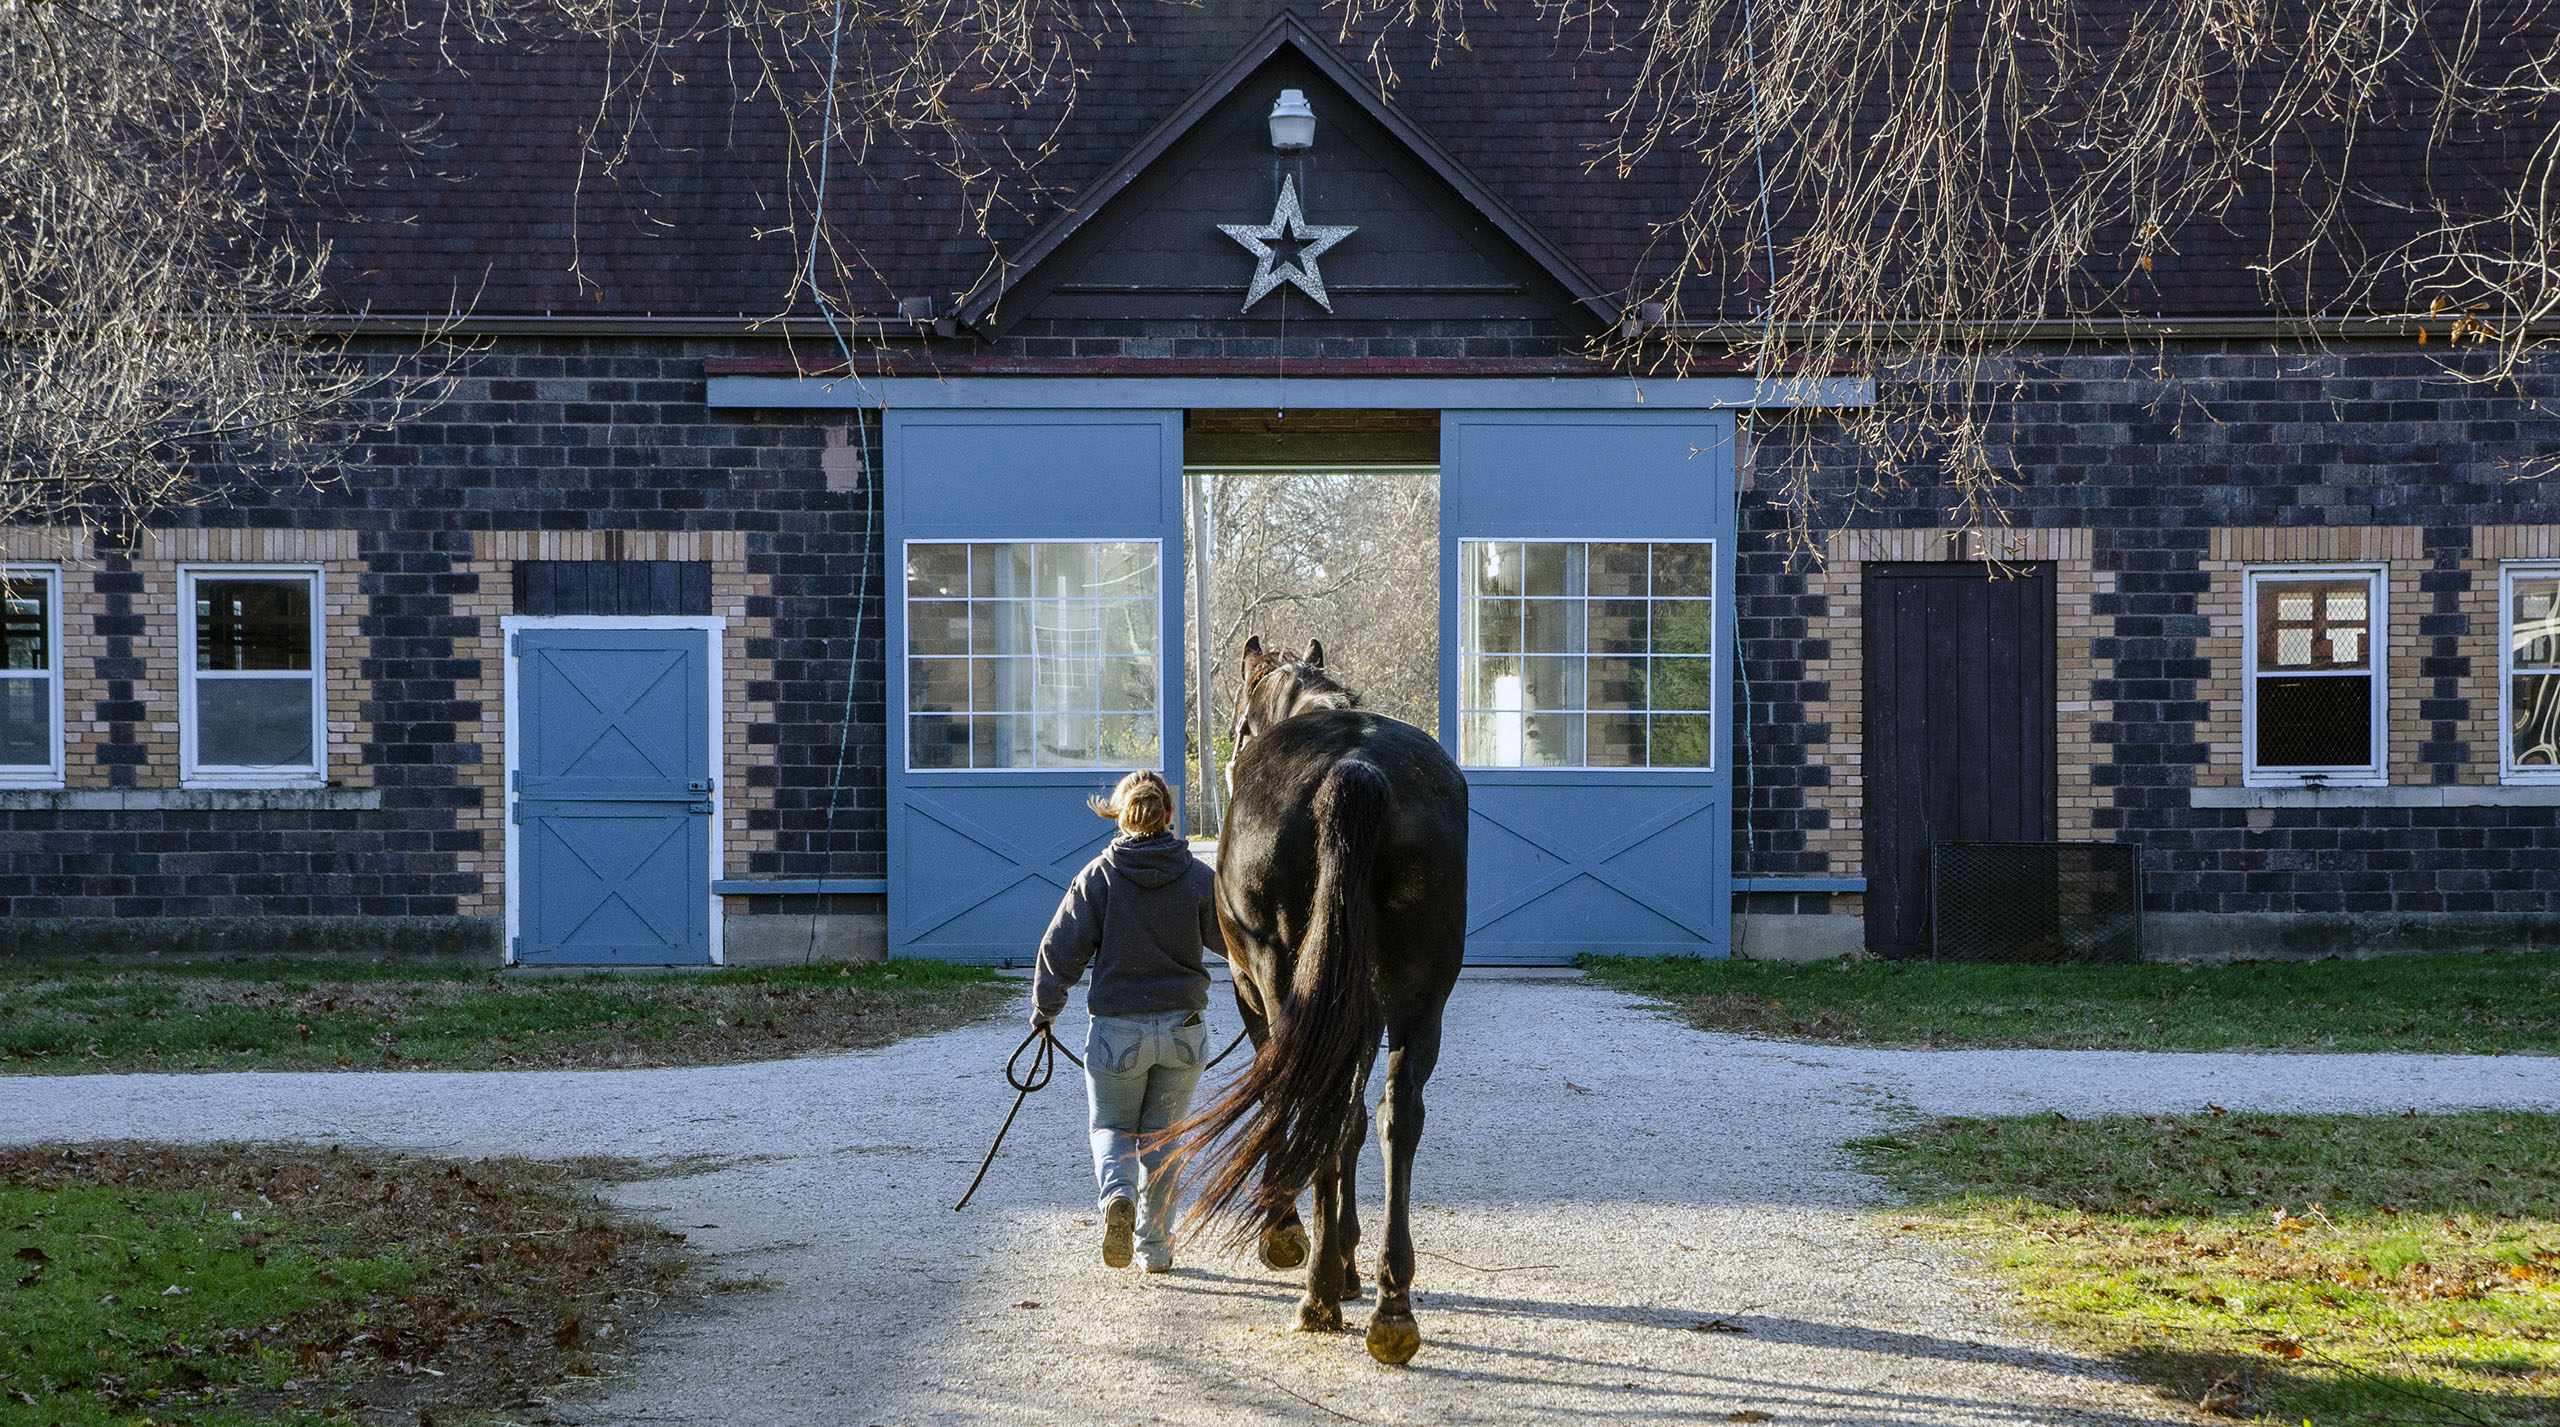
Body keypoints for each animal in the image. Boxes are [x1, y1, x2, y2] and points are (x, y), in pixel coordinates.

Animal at [1172, 635, 1474, 1352]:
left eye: (1240, 725)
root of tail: (1356, 770)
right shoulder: (1362, 1012)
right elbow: (1354, 1123)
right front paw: (1348, 1260)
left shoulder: (1255, 996)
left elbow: (1292, 1105)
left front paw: (1292, 1237)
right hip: (1419, 995)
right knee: (1396, 1113)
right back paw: (1392, 1303)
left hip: (1281, 982)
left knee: (1304, 1099)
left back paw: (1316, 1293)